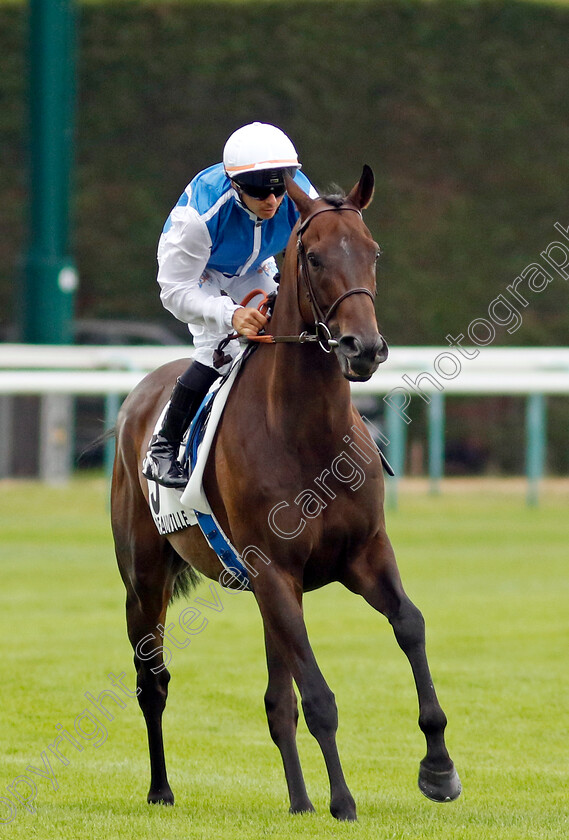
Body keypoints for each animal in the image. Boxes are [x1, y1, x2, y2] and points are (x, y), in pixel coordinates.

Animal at [108, 167, 460, 824]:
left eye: (373, 252)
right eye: (315, 256)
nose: (363, 348)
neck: (307, 431)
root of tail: (139, 394)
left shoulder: (363, 553)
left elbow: (410, 626)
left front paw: (439, 768)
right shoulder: (275, 570)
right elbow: (318, 696)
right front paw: (344, 800)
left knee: (277, 701)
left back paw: (298, 800)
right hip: (145, 579)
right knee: (153, 681)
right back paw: (161, 789)